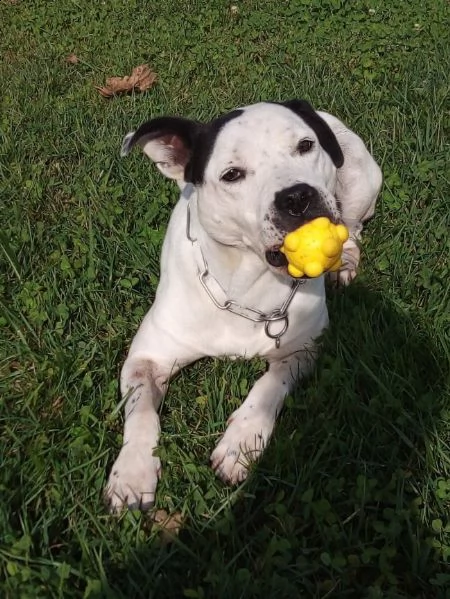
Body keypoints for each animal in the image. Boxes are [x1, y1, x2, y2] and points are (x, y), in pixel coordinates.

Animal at [105, 99, 384, 510]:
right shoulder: (147, 357)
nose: (297, 196)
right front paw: (132, 471)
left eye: (305, 146)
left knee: (353, 230)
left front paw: (241, 443)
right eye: (232, 174)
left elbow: (268, 386)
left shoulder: (302, 348)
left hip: (360, 183)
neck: (245, 283)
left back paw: (345, 263)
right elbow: (140, 410)